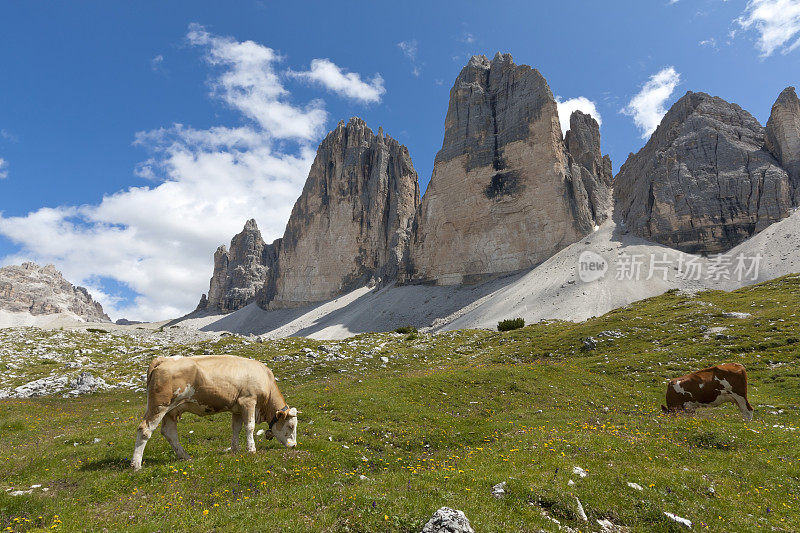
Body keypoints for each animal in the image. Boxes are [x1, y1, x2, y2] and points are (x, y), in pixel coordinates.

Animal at [131, 356, 300, 472]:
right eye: (291, 426)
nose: (294, 445)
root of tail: (163, 359)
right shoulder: (248, 401)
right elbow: (250, 426)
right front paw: (251, 449)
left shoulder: (237, 408)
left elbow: (236, 428)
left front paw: (235, 449)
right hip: (159, 406)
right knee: (145, 430)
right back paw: (136, 464)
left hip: (171, 411)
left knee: (169, 433)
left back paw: (185, 456)